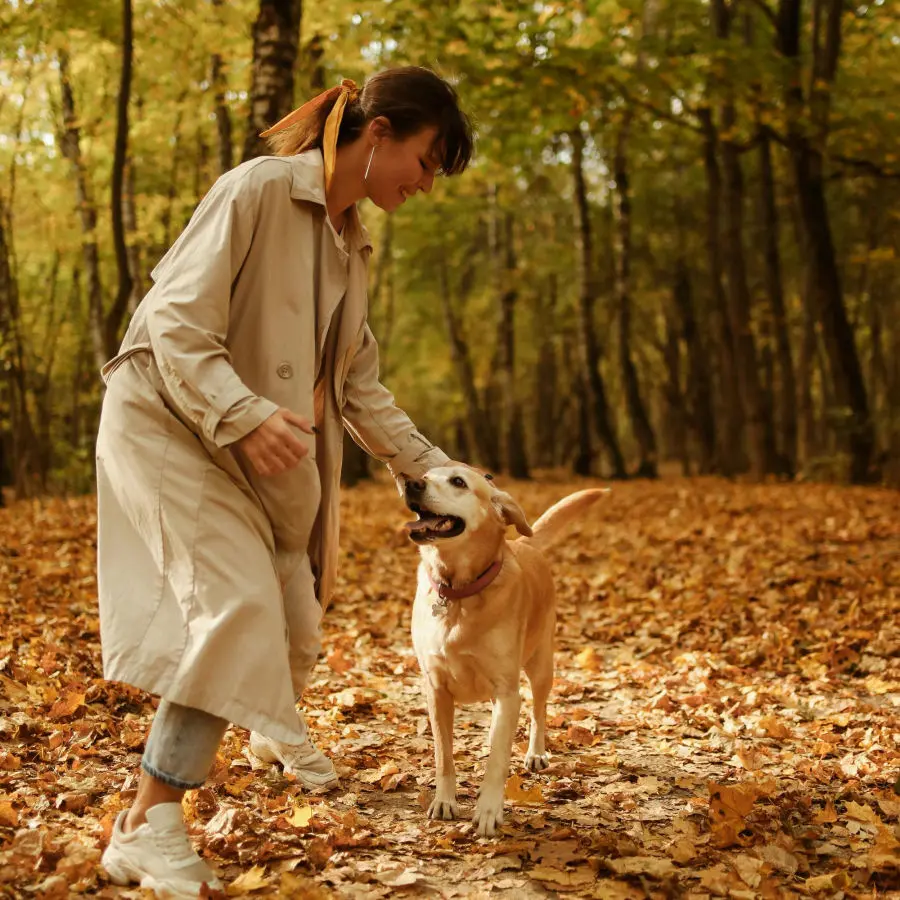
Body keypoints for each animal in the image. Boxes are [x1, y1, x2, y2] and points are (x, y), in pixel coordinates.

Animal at [406, 464, 604, 836]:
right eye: (425, 473)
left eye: (458, 481)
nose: (410, 483)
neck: (459, 594)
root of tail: (521, 541)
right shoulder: (435, 690)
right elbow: (444, 754)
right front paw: (445, 799)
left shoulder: (506, 688)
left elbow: (498, 758)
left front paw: (488, 809)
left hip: (540, 666)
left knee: (538, 711)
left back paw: (535, 752)